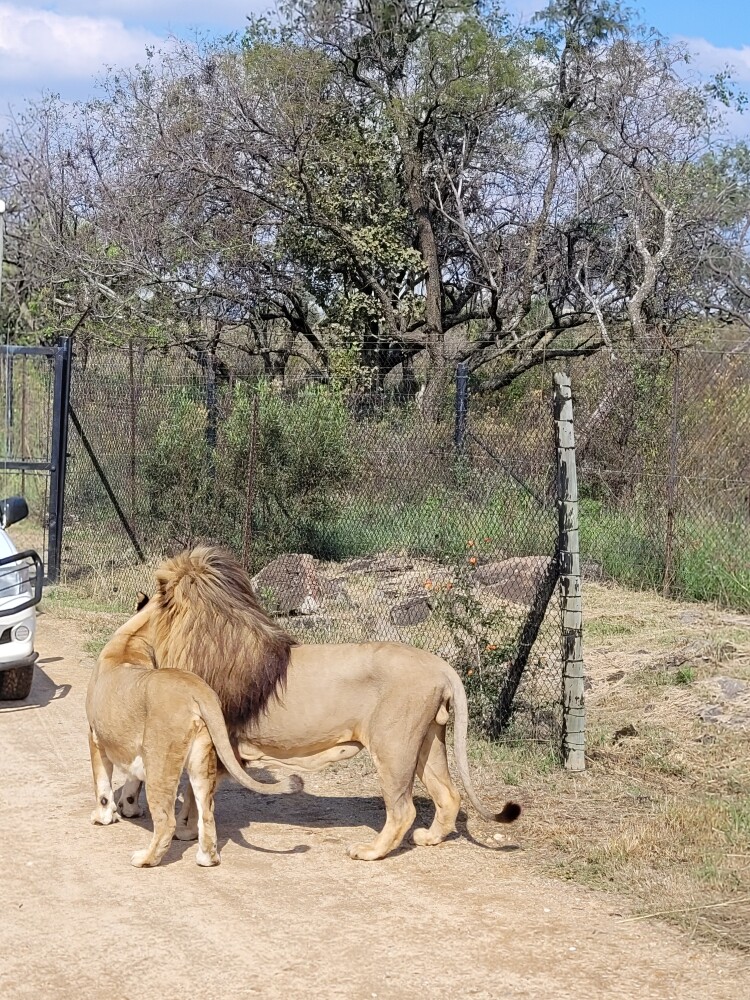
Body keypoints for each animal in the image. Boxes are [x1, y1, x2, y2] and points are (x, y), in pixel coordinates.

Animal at [87, 617, 302, 868]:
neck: (130, 643)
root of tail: (198, 690)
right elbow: (131, 781)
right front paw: (128, 807)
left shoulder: (94, 736)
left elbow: (102, 785)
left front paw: (103, 817)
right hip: (201, 760)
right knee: (207, 813)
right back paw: (207, 858)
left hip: (160, 762)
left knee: (166, 821)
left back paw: (145, 859)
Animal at [109, 546, 521, 861]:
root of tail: (440, 664)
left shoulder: (212, 738)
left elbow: (197, 792)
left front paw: (183, 829)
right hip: (427, 742)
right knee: (448, 795)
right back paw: (430, 838)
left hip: (393, 746)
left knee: (403, 810)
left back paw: (370, 852)